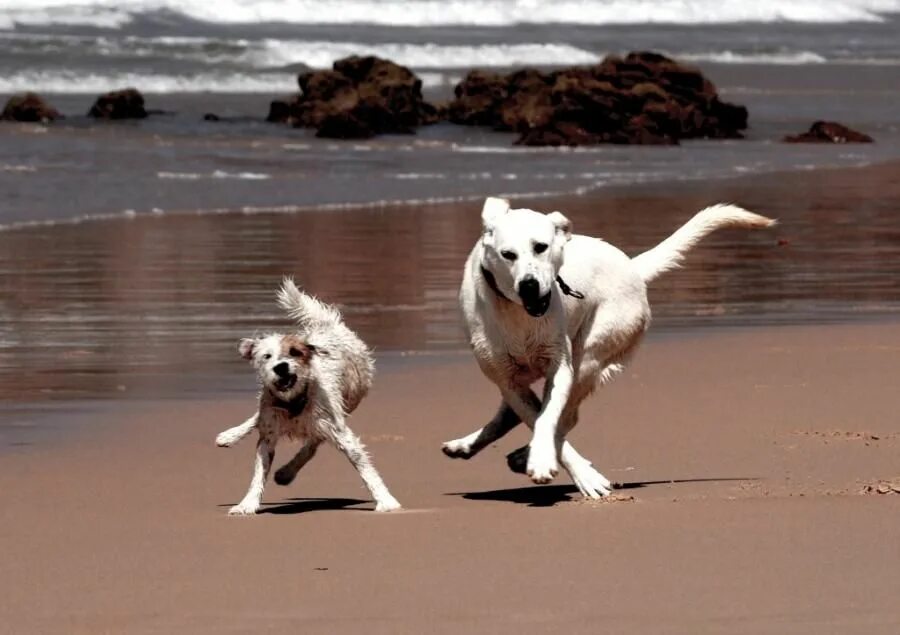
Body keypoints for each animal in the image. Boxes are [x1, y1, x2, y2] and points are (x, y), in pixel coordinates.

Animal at [214, 280, 400, 516]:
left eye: (295, 352)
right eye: (267, 356)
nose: (281, 367)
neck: (293, 402)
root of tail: (328, 325)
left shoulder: (341, 432)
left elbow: (365, 469)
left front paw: (386, 501)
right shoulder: (268, 435)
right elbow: (258, 474)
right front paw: (247, 504)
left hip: (346, 403)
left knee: (313, 443)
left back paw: (286, 472)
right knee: (263, 419)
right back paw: (230, 436)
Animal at [442, 199, 772, 496]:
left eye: (541, 247)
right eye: (507, 254)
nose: (529, 285)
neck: (518, 313)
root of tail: (632, 267)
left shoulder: (560, 368)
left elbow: (547, 419)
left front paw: (546, 462)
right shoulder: (506, 378)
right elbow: (536, 415)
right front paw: (557, 464)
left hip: (588, 356)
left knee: (565, 416)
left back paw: (527, 455)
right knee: (526, 412)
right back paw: (469, 446)